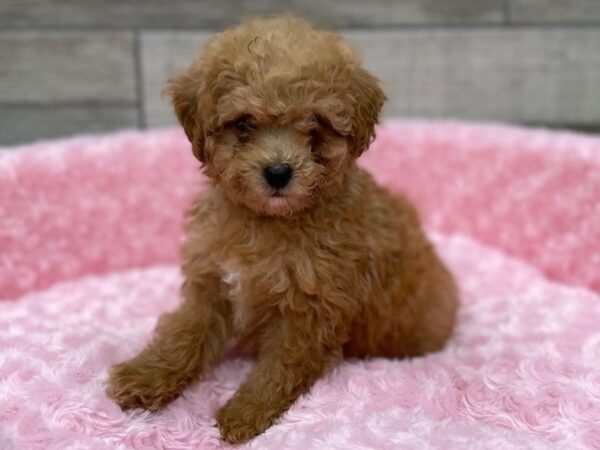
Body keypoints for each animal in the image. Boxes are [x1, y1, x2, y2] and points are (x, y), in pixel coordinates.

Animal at [108, 16, 458, 442]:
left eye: (315, 126)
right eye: (244, 123)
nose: (277, 172)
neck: (268, 221)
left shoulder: (311, 312)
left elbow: (280, 367)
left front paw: (245, 413)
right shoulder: (212, 283)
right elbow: (184, 333)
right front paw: (145, 376)